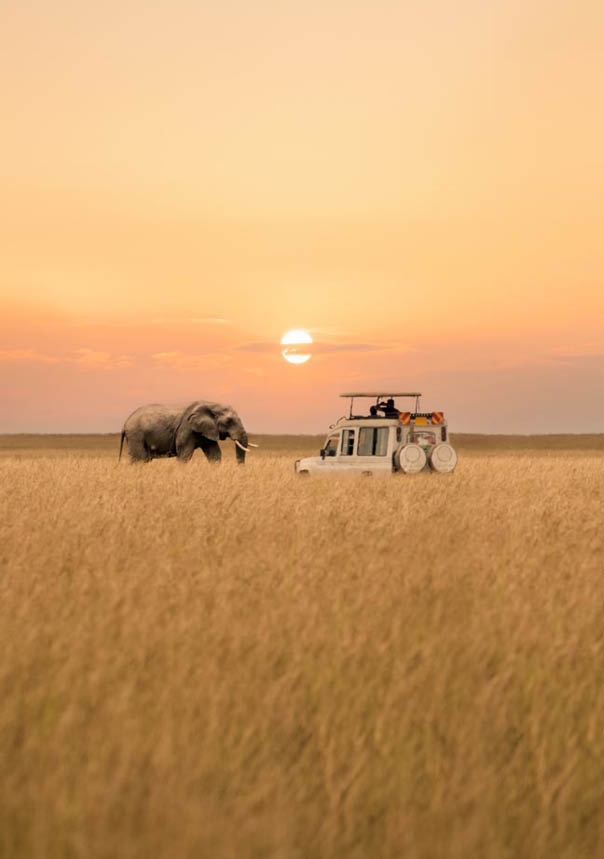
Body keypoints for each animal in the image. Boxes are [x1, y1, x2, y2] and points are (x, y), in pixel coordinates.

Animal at [119, 401, 257, 464]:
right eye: (229, 421)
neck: (211, 405)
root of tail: (125, 422)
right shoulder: (186, 429)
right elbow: (184, 454)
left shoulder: (207, 431)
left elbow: (215, 454)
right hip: (136, 435)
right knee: (140, 459)